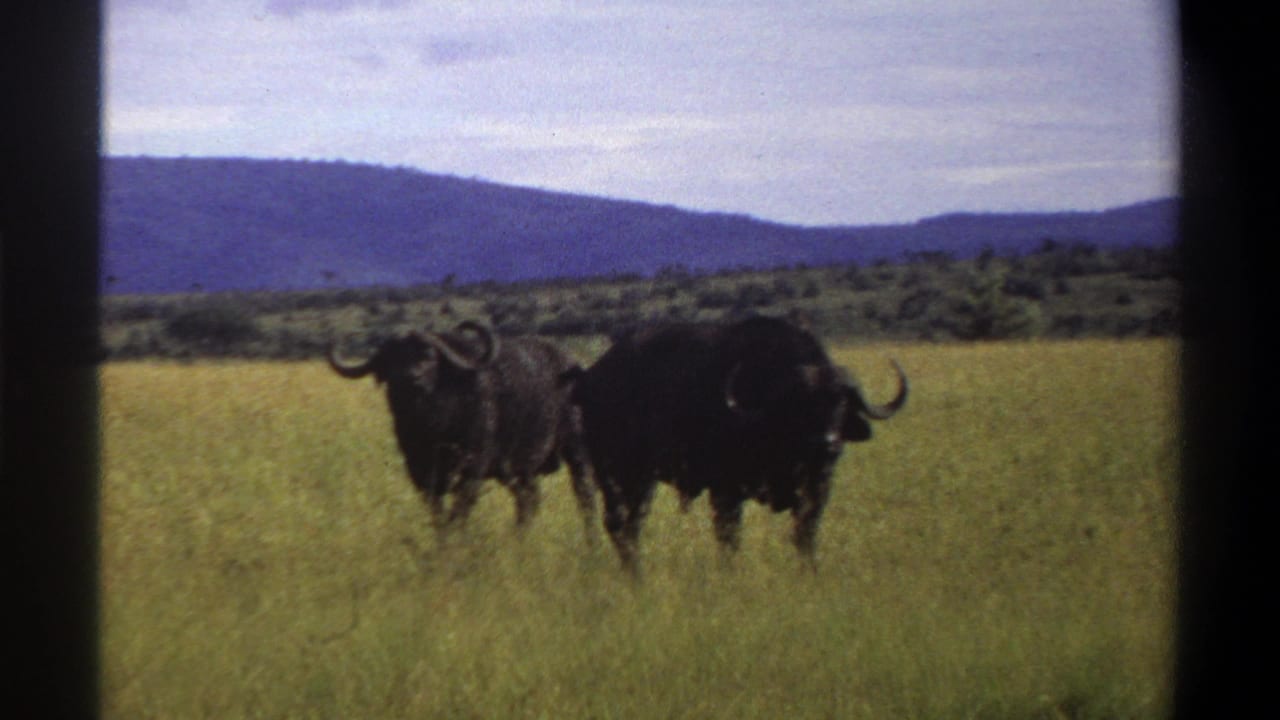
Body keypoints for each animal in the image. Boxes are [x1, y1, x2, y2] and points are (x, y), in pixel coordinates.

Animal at [328, 321, 596, 541]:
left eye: (429, 357)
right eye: (391, 358)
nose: (410, 378)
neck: (432, 426)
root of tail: (574, 367)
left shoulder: (473, 470)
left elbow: (458, 513)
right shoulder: (421, 473)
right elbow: (438, 515)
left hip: (576, 452)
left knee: (585, 497)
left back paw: (591, 543)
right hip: (517, 469)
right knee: (529, 500)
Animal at [565, 316, 907, 575]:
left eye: (842, 403)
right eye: (801, 404)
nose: (827, 444)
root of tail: (590, 380)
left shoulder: (817, 489)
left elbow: (805, 535)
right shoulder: (726, 490)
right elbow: (729, 538)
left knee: (629, 526)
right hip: (621, 474)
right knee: (619, 525)